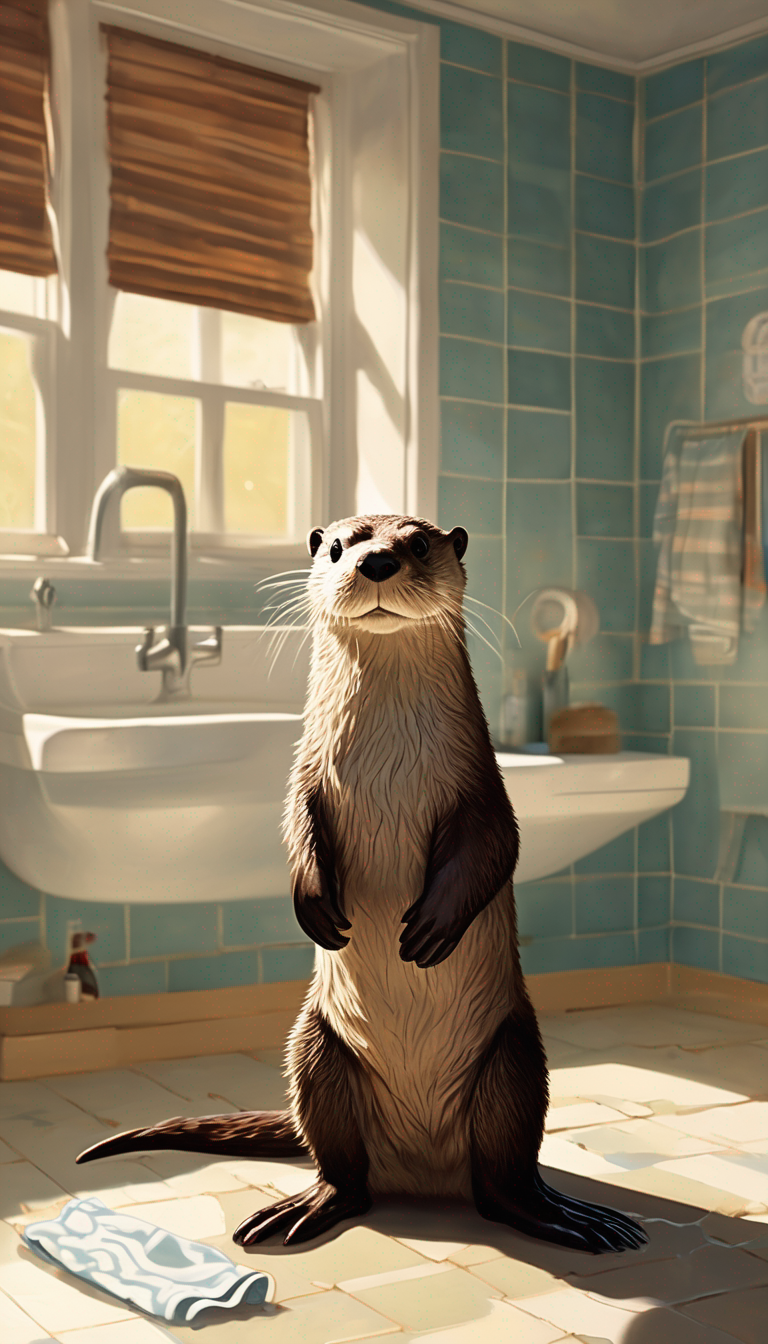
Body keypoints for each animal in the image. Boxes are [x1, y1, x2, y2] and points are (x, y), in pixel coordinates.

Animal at [77, 514, 646, 1256]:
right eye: (338, 545)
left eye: (420, 543)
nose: (375, 560)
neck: (386, 759)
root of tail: (423, 1171)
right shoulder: (306, 773)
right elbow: (294, 827)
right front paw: (314, 906)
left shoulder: (484, 788)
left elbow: (496, 846)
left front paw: (432, 928)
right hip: (318, 1052)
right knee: (345, 1170)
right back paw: (306, 1207)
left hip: (514, 1058)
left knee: (504, 1178)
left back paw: (561, 1216)